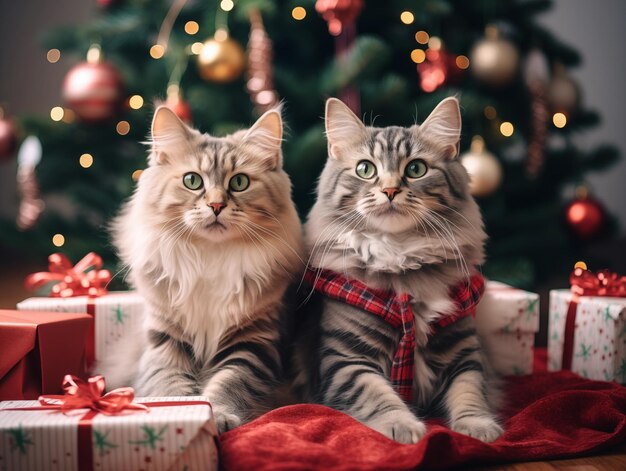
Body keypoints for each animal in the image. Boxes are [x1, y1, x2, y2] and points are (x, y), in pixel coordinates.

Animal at [96, 105, 302, 434]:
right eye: (192, 181)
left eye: (239, 183)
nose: (216, 206)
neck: (209, 258)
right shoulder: (165, 341)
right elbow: (169, 383)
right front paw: (182, 410)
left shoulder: (252, 343)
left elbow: (228, 383)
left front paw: (217, 414)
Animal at [292, 97, 502, 444]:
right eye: (365, 169)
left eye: (416, 169)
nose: (390, 190)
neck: (401, 257)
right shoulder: (346, 359)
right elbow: (376, 394)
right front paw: (405, 427)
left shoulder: (464, 349)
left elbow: (470, 391)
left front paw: (479, 427)